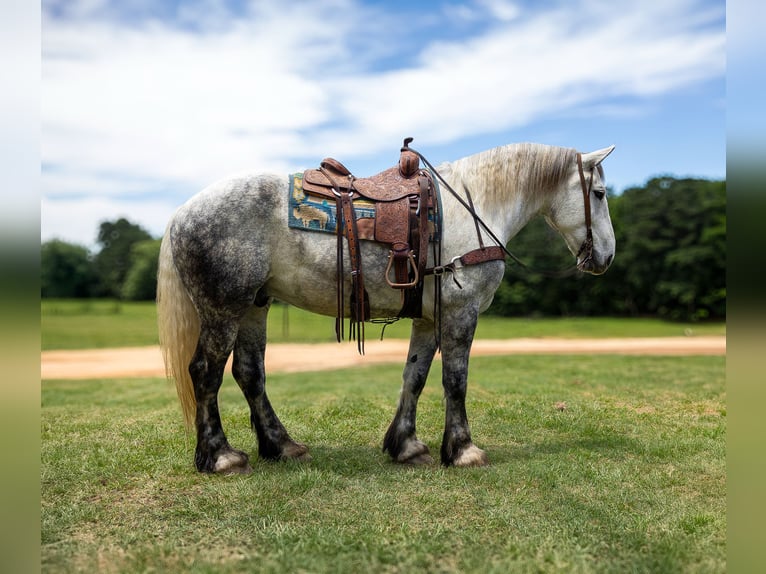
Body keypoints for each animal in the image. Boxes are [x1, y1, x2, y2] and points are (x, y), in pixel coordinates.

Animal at [157, 142, 616, 474]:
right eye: (599, 193)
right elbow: (456, 381)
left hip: (255, 305)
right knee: (206, 372)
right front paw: (463, 450)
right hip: (224, 306)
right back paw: (220, 456)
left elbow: (415, 376)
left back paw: (282, 445)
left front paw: (406, 445)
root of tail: (182, 212)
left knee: (249, 373)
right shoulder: (461, 312)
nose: (607, 257)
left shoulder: (429, 319)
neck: (474, 207)